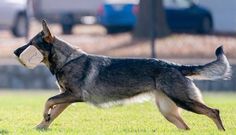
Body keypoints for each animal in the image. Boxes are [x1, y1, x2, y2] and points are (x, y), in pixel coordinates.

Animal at [13, 20, 231, 131]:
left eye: (31, 43)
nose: (15, 52)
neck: (67, 60)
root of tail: (177, 66)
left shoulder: (74, 95)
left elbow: (49, 101)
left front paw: (44, 117)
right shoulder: (67, 98)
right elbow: (53, 111)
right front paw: (41, 125)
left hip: (184, 101)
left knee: (214, 112)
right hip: (169, 111)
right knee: (187, 127)